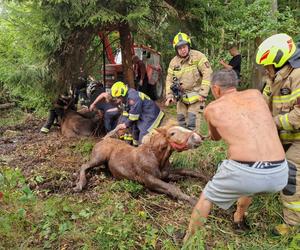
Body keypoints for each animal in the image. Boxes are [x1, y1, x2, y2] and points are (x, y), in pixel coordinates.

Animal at [74, 125, 209, 205]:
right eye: (172, 133)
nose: (198, 137)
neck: (158, 158)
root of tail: (104, 138)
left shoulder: (167, 171)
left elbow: (189, 171)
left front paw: (206, 178)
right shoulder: (149, 180)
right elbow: (173, 188)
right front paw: (193, 200)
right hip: (99, 157)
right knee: (84, 166)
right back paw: (80, 184)